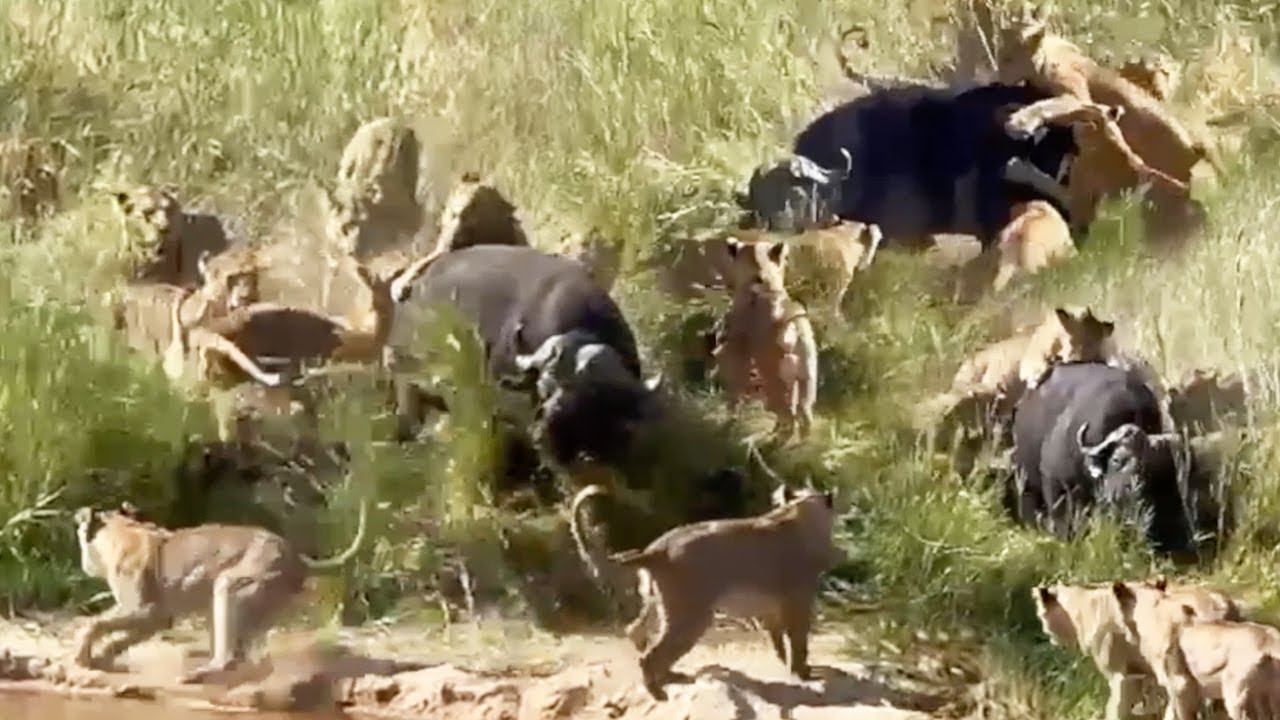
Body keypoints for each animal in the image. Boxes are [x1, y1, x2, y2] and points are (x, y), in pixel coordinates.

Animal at [1009, 361, 1199, 554]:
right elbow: (1063, 522)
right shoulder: (1055, 483)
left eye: (1148, 468)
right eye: (1116, 460)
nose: (1124, 493)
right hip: (1025, 476)